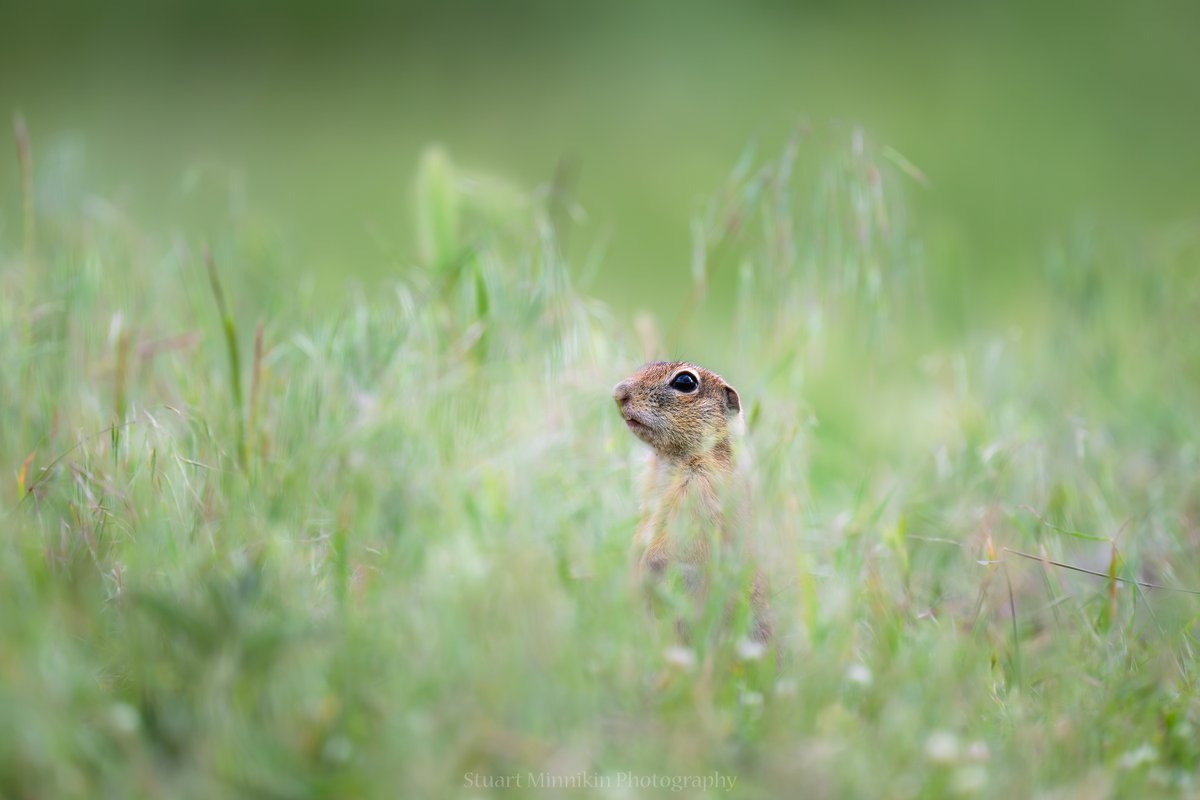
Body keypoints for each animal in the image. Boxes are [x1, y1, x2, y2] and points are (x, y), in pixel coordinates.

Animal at [612, 361, 772, 644]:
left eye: (685, 382)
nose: (618, 393)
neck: (669, 459)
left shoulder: (703, 489)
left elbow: (679, 540)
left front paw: (645, 571)